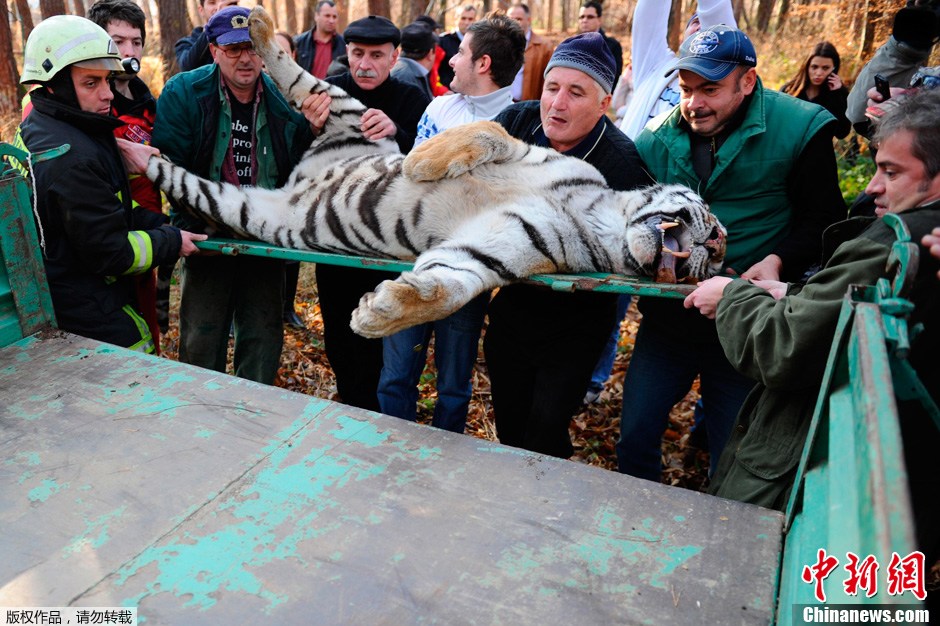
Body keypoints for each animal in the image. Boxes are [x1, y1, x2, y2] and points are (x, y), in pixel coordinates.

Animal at [145, 6, 728, 336]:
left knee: (185, 180)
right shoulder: (523, 149)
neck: (604, 220)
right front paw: (422, 163)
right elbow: (487, 133)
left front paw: (378, 313)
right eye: (712, 221)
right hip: (346, 107)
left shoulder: (494, 252)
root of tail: (300, 178)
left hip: (245, 205)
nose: (714, 249)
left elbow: (449, 287)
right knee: (292, 72)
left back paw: (141, 153)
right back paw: (256, 25)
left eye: (717, 257)